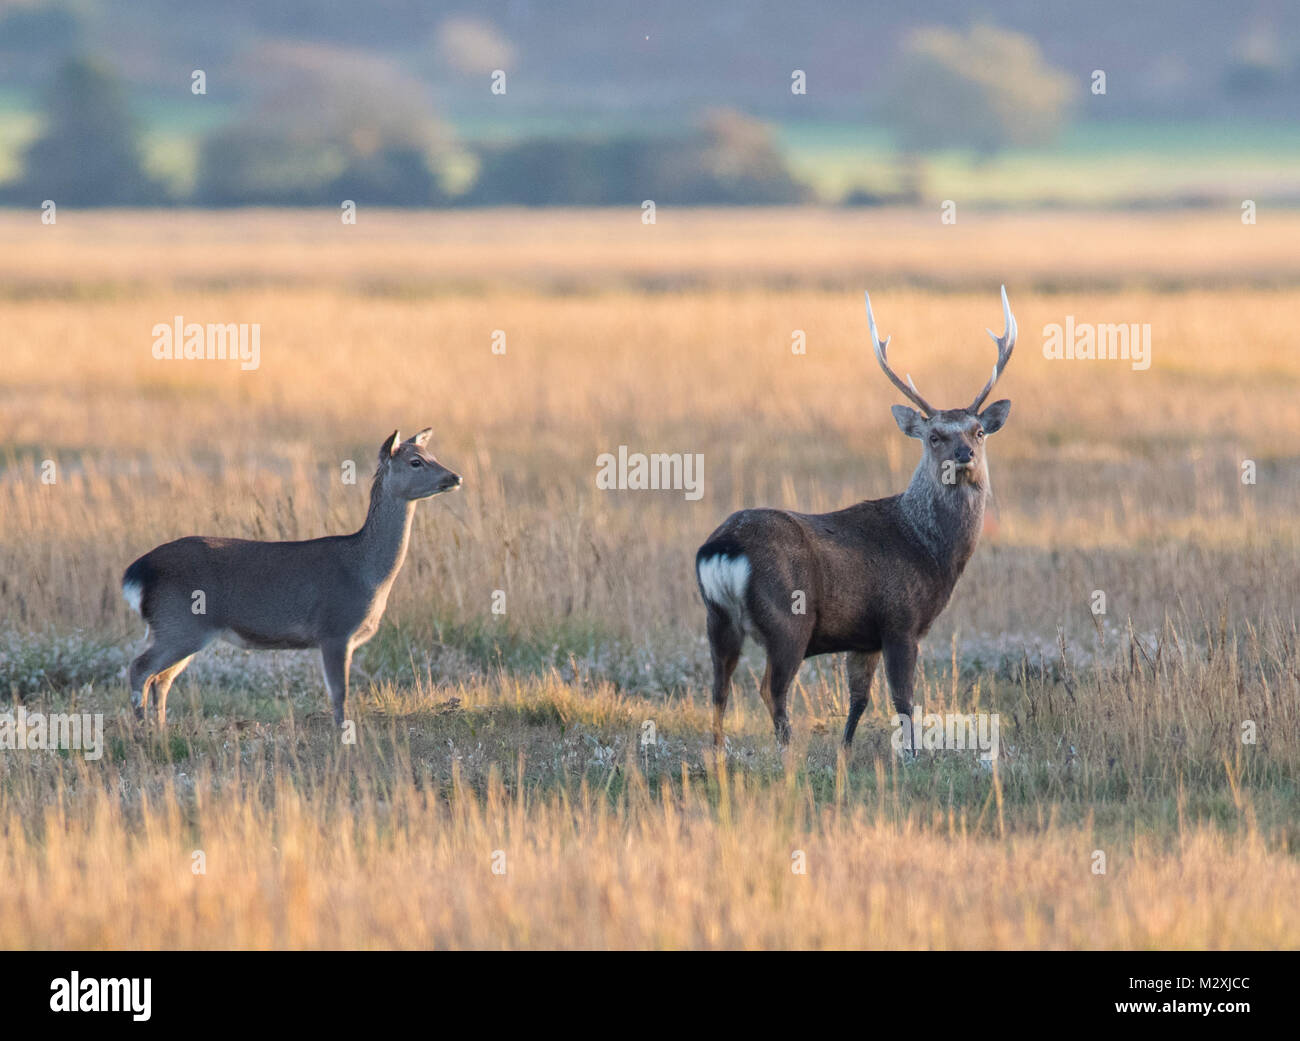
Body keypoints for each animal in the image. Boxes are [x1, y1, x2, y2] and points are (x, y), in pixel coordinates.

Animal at [121, 429, 461, 726]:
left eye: (431, 454)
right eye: (416, 461)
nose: (455, 477)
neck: (368, 573)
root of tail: (136, 572)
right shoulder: (335, 629)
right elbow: (339, 694)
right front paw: (344, 739)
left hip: (179, 629)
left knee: (161, 679)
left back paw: (161, 731)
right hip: (180, 623)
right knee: (139, 669)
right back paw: (143, 735)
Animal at [695, 287, 1016, 757]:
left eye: (978, 431)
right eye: (934, 435)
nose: (965, 455)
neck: (929, 550)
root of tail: (723, 547)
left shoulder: (863, 637)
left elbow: (859, 700)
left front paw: (845, 750)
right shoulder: (900, 620)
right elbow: (903, 699)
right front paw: (912, 755)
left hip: (716, 619)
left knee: (718, 689)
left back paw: (720, 752)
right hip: (788, 619)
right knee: (771, 689)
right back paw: (788, 752)